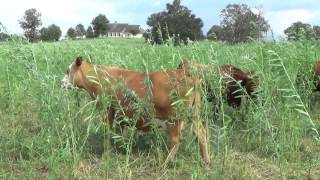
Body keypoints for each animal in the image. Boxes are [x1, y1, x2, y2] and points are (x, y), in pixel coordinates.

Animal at [61, 57, 211, 166]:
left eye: (68, 71)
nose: (61, 83)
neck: (100, 78)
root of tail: (186, 73)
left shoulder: (107, 111)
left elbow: (107, 133)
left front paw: (107, 153)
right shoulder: (120, 116)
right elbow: (118, 134)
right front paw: (120, 150)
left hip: (173, 119)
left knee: (176, 139)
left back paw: (166, 162)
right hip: (194, 114)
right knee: (201, 133)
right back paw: (206, 160)